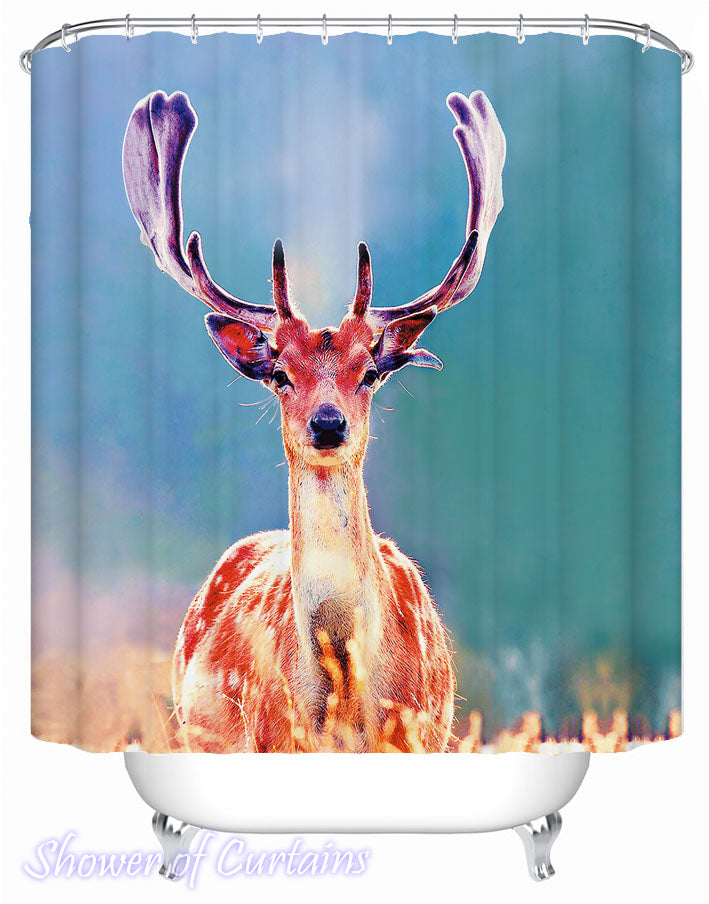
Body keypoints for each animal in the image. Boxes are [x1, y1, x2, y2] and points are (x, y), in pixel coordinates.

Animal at [122, 88, 505, 753]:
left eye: (370, 371)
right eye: (280, 372)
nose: (328, 423)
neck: (345, 695)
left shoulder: (424, 733)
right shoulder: (274, 738)